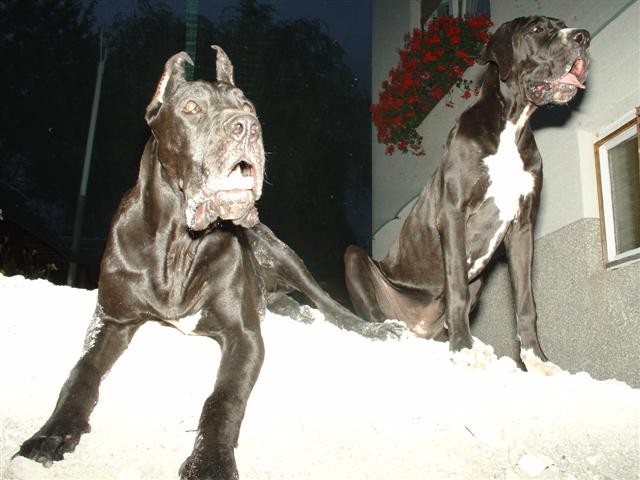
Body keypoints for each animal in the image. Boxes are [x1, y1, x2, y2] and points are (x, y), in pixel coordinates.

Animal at [17, 46, 404, 480]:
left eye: (248, 106)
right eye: (191, 108)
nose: (247, 127)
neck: (178, 246)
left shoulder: (243, 335)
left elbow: (223, 398)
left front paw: (211, 460)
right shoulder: (113, 318)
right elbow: (82, 372)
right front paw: (52, 432)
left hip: (285, 253)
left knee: (328, 303)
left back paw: (368, 327)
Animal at [344, 16, 592, 374]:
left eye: (562, 26)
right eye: (536, 30)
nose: (583, 38)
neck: (512, 127)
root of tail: (416, 328)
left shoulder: (522, 228)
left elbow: (526, 303)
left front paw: (537, 360)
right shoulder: (453, 213)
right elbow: (456, 287)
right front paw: (462, 349)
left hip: (478, 286)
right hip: (355, 258)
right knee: (376, 311)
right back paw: (396, 331)